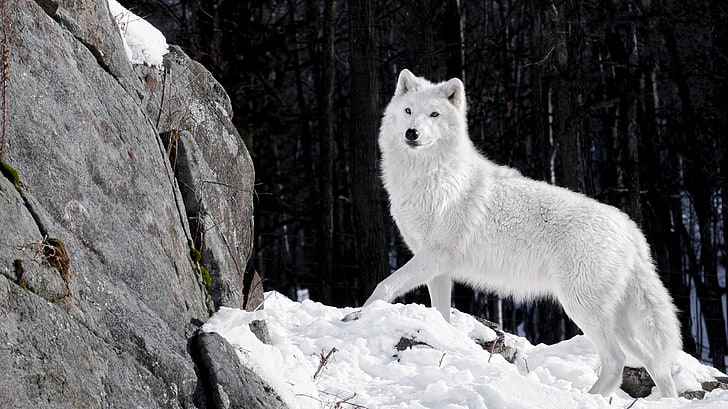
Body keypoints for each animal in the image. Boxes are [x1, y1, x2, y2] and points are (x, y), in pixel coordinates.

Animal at [344, 69, 680, 396]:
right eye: (409, 111)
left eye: (434, 114)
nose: (411, 133)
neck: (429, 177)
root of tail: (631, 229)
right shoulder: (438, 269)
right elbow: (441, 314)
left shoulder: (433, 256)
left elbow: (383, 287)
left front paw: (356, 317)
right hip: (616, 320)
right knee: (655, 364)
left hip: (581, 307)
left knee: (616, 361)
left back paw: (589, 397)